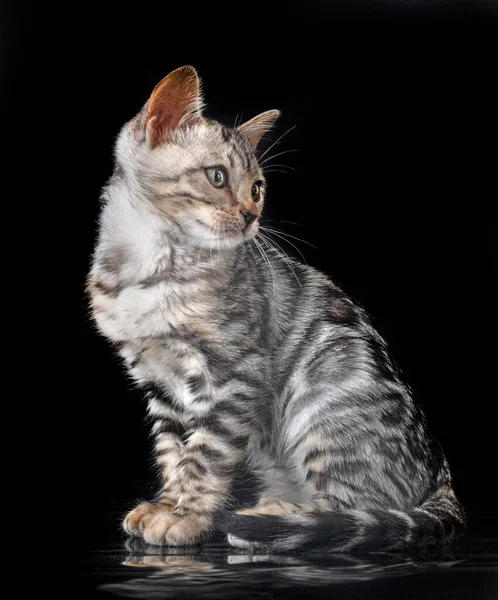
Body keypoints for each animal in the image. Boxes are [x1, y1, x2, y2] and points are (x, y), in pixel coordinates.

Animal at [87, 65, 464, 552]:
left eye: (258, 189)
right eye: (217, 177)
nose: (251, 216)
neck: (150, 263)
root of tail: (441, 475)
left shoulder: (235, 374)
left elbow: (205, 454)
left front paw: (187, 518)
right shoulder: (158, 381)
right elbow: (173, 451)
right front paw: (168, 504)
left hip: (323, 407)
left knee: (357, 511)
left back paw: (271, 517)